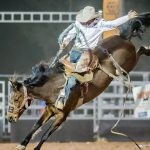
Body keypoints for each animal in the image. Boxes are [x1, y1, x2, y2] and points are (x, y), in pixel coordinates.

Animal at [7, 12, 150, 150]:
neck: (54, 86)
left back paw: (147, 49)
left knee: (141, 50)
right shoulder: (49, 110)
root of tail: (123, 37)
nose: (9, 118)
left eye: (16, 99)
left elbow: (45, 135)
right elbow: (35, 126)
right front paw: (22, 144)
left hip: (129, 64)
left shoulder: (62, 115)